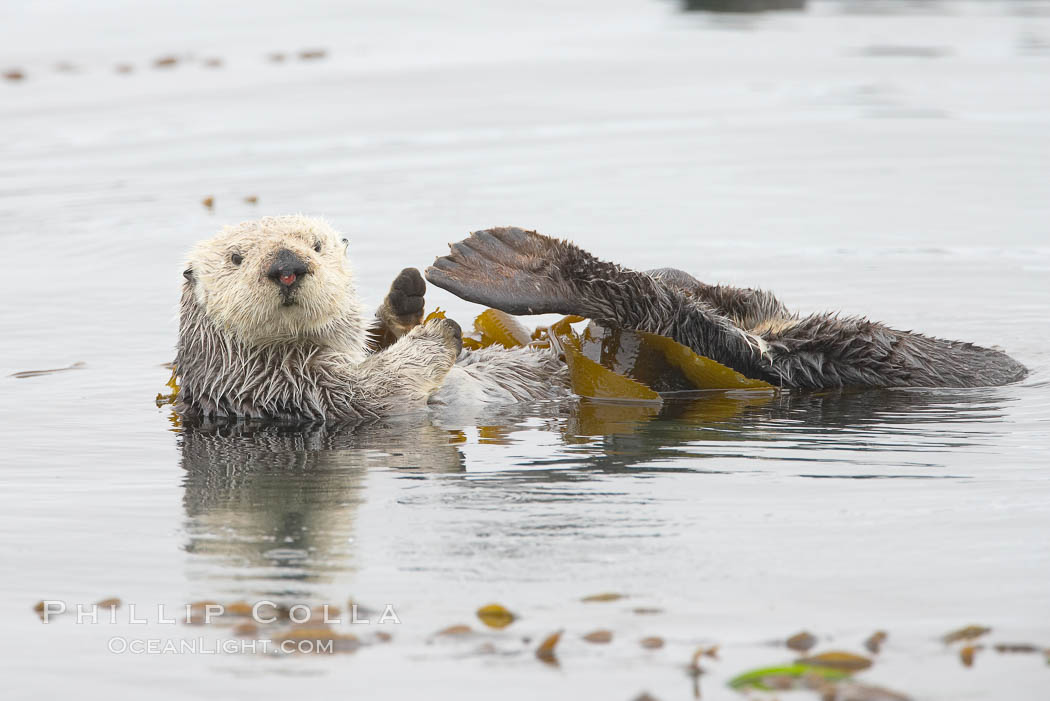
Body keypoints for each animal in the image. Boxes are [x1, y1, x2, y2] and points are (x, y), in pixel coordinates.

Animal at [176, 215, 562, 421]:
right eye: (236, 258)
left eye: (316, 245)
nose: (287, 267)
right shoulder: (298, 390)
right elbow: (381, 386)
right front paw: (438, 331)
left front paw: (404, 297)